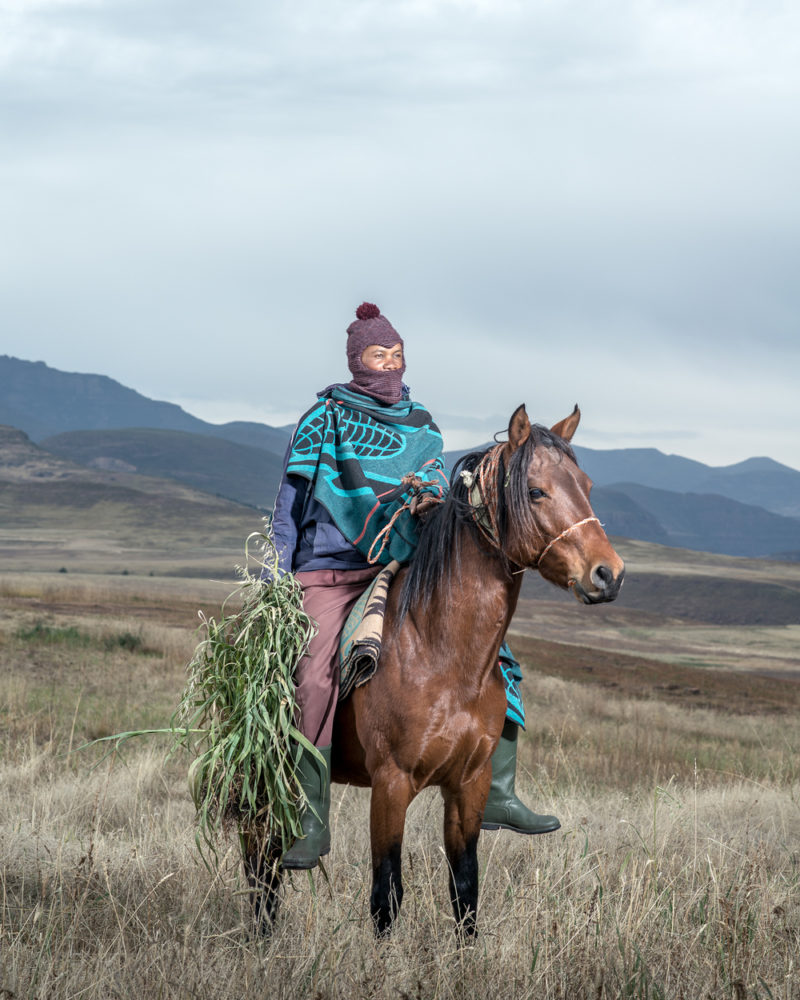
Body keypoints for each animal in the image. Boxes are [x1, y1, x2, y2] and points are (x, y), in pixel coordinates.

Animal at [244, 404, 624, 936]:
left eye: (585, 485)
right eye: (535, 491)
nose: (609, 574)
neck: (441, 654)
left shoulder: (469, 786)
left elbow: (465, 890)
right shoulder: (391, 784)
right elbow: (386, 894)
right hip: (261, 776)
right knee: (261, 862)